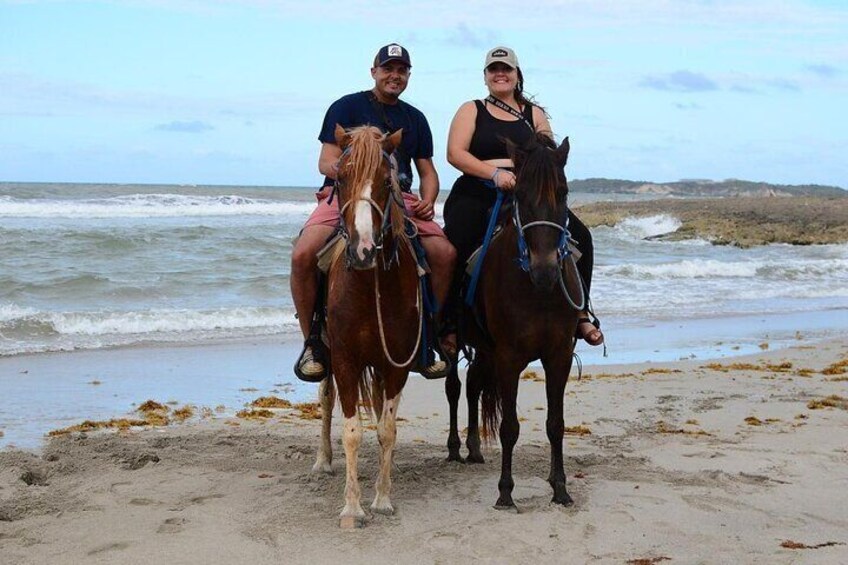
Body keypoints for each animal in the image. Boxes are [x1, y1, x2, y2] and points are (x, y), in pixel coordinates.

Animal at [310, 124, 422, 528]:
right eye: (341, 178)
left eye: (387, 181)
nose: (363, 250)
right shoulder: (345, 360)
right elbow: (352, 432)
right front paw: (352, 508)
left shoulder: (396, 364)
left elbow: (387, 430)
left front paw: (382, 498)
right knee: (326, 397)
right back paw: (323, 461)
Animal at [444, 134, 584, 508]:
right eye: (519, 193)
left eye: (563, 191)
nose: (545, 269)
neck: (538, 292)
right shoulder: (508, 357)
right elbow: (509, 427)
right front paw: (505, 492)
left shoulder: (559, 356)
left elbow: (556, 423)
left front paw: (560, 487)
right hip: (459, 344)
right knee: (454, 387)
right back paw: (454, 448)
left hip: (484, 349)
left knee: (474, 385)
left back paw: (474, 449)